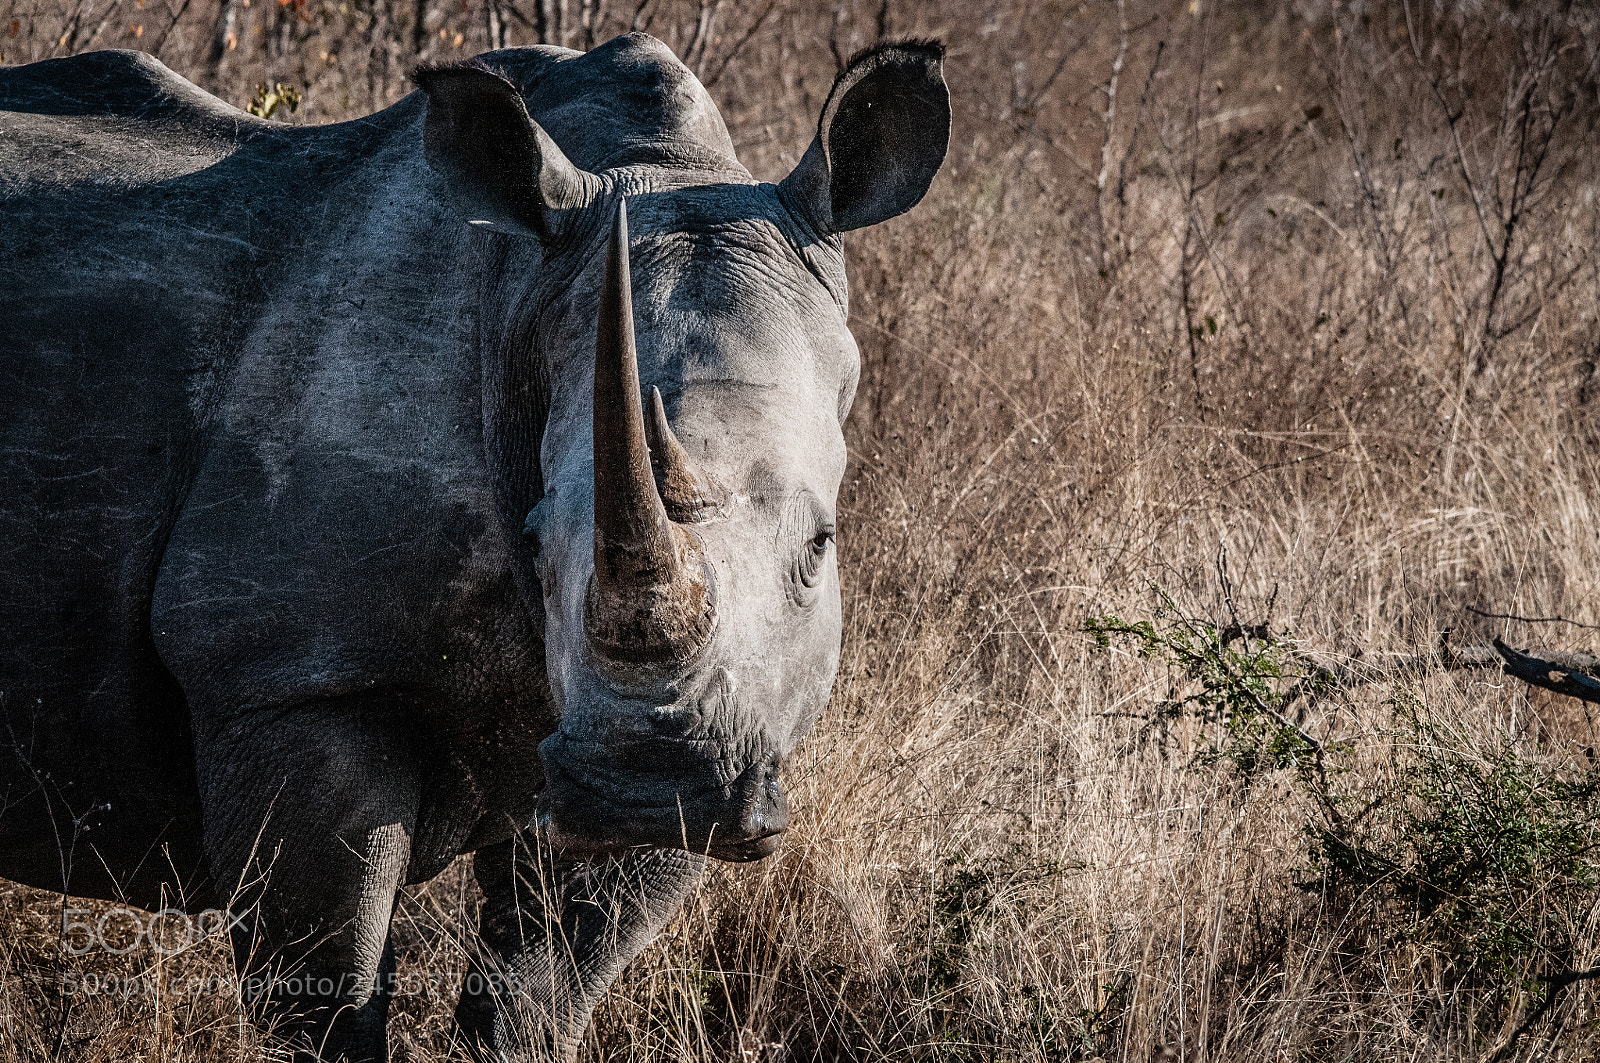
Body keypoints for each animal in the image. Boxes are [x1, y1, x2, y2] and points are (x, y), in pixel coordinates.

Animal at [0, 32, 948, 1062]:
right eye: (536, 542)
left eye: (821, 544)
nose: (649, 783)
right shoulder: (292, 676)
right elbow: (326, 993)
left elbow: (539, 991)